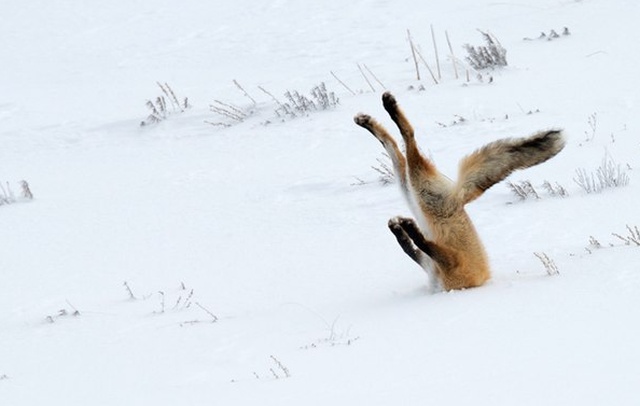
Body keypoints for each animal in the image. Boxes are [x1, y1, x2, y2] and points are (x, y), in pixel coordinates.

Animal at [356, 93, 564, 288]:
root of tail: (459, 198)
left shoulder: (450, 264)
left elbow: (419, 244)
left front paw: (407, 228)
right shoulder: (434, 264)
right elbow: (410, 247)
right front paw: (400, 229)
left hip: (419, 191)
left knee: (408, 139)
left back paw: (387, 109)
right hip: (413, 191)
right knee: (394, 146)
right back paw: (370, 120)